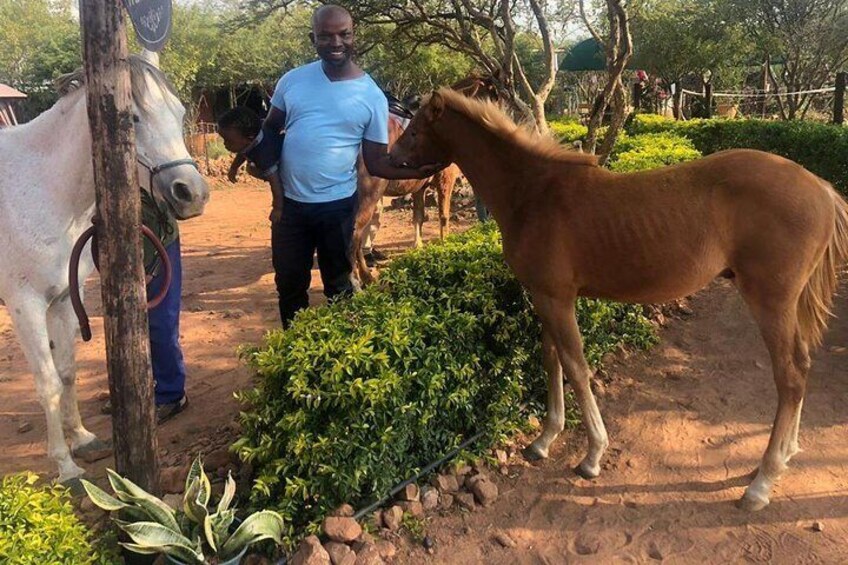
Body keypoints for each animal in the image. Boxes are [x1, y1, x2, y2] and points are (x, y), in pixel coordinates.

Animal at [0, 53, 210, 480]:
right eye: (132, 119)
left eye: (180, 112)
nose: (192, 194)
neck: (44, 189)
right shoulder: (25, 305)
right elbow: (47, 382)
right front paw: (65, 466)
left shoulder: (65, 297)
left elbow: (67, 371)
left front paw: (82, 439)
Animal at [390, 89, 848, 512]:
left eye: (414, 130)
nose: (390, 158)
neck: (534, 191)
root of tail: (822, 190)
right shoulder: (545, 297)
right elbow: (552, 360)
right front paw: (545, 438)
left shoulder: (557, 299)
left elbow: (576, 367)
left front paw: (592, 453)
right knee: (801, 367)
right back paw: (784, 456)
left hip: (771, 302)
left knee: (790, 377)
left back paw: (762, 482)